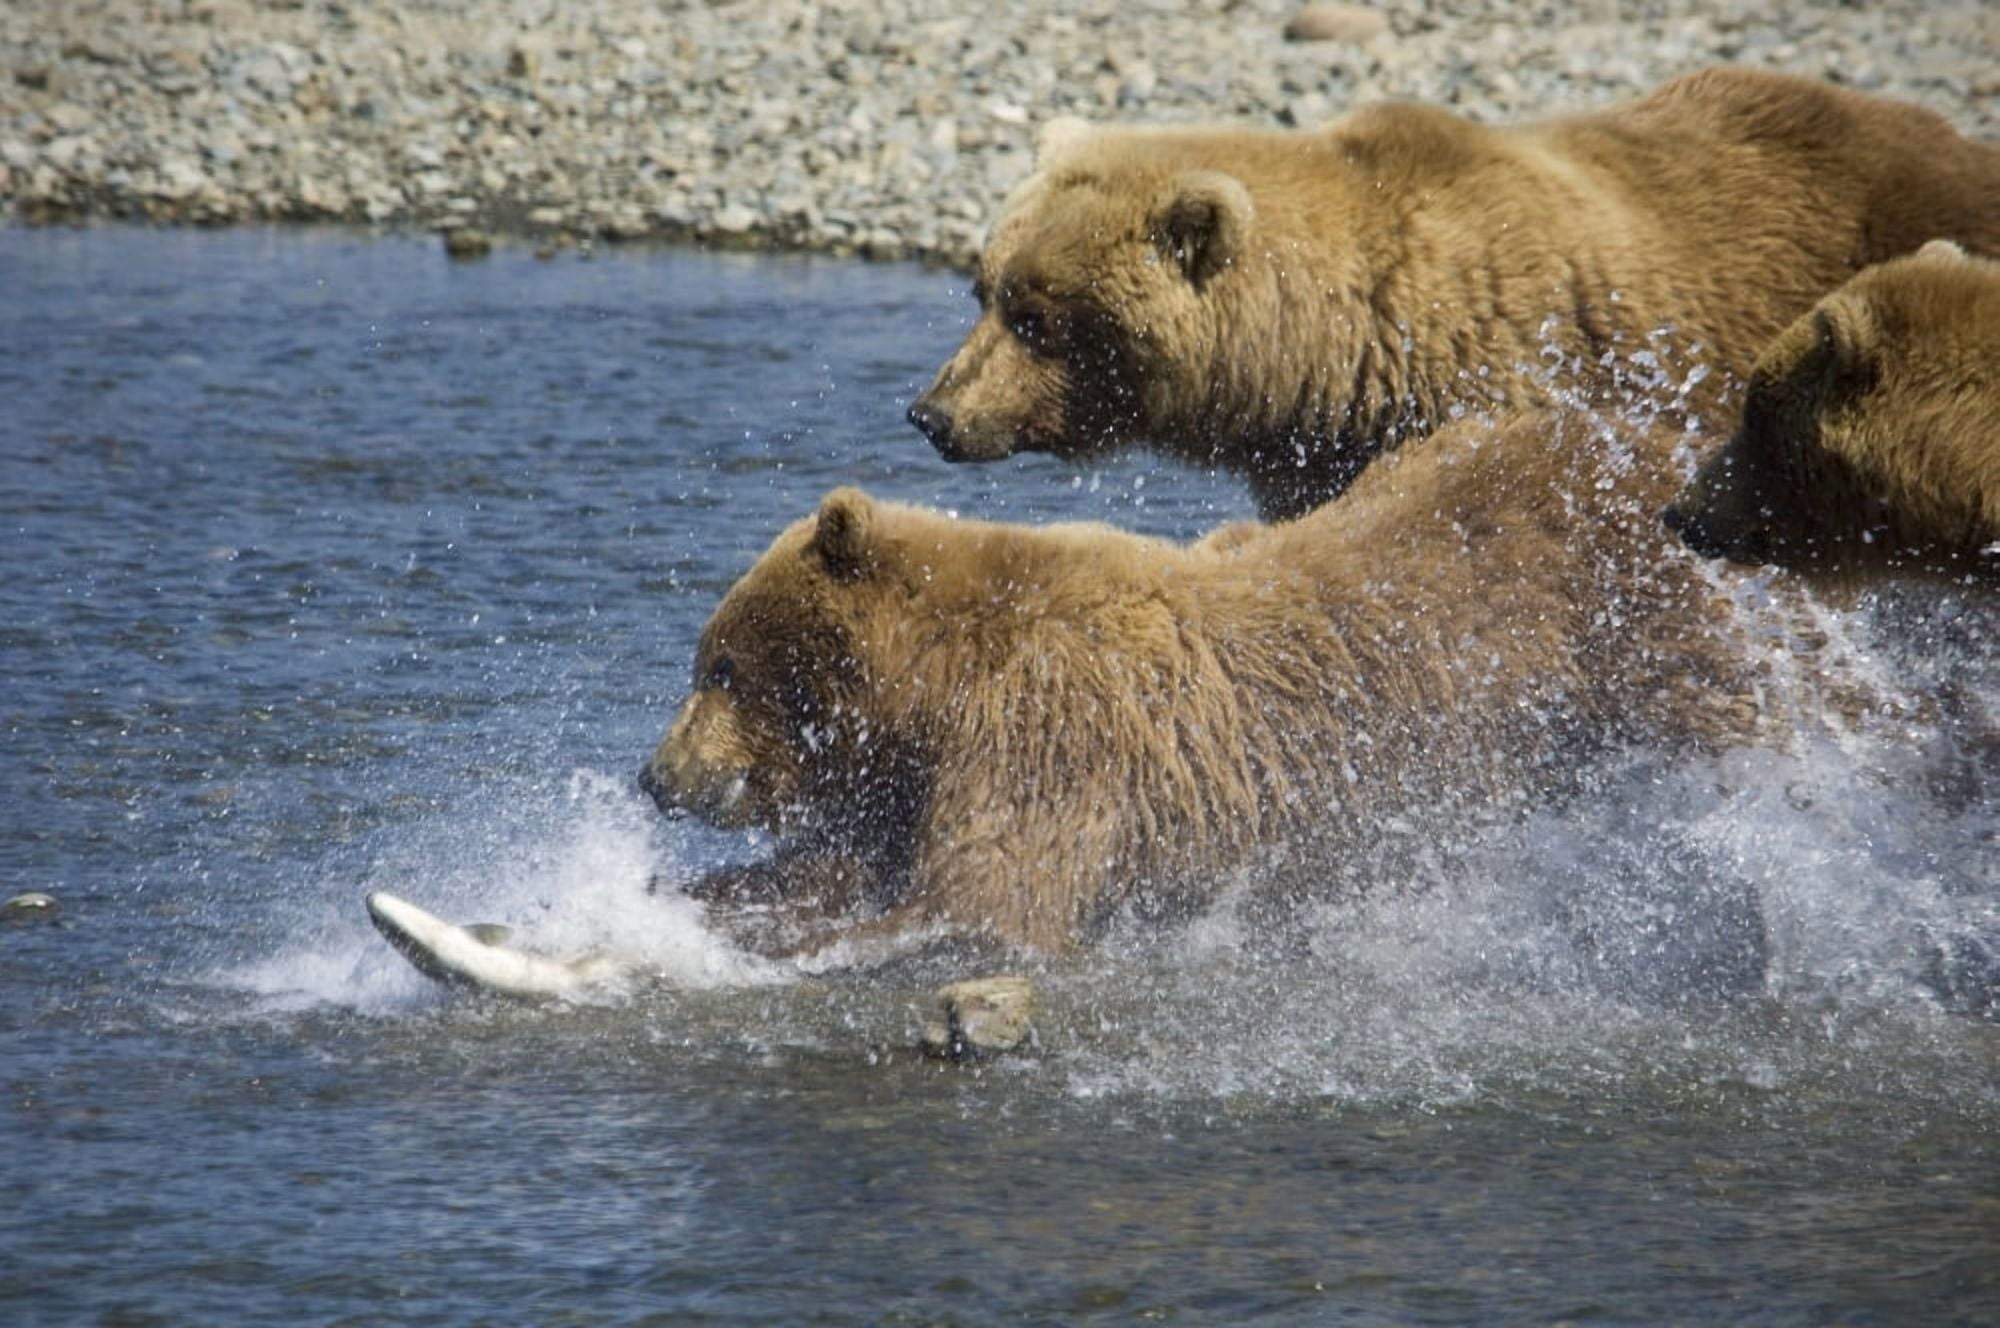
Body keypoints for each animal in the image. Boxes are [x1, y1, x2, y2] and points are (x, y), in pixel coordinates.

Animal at [639, 405, 1782, 959]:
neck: (937, 687)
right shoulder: (916, 777)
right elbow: (842, 867)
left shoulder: (1053, 729)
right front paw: (666, 893)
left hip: (1660, 641)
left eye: (720, 665)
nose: (655, 776)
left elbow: (986, 895)